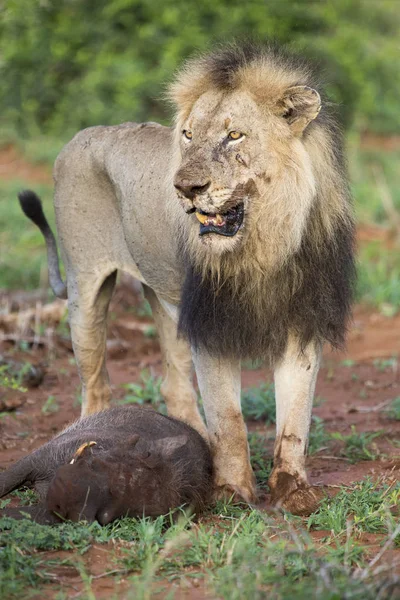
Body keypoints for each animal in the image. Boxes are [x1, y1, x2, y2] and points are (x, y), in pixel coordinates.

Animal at [20, 42, 354, 512]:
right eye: (189, 136)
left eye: (235, 136)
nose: (184, 187)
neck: (263, 246)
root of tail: (82, 135)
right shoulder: (211, 326)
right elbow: (228, 418)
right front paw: (231, 492)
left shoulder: (301, 323)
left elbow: (295, 419)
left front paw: (294, 492)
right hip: (85, 290)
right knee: (95, 384)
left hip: (167, 302)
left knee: (175, 386)